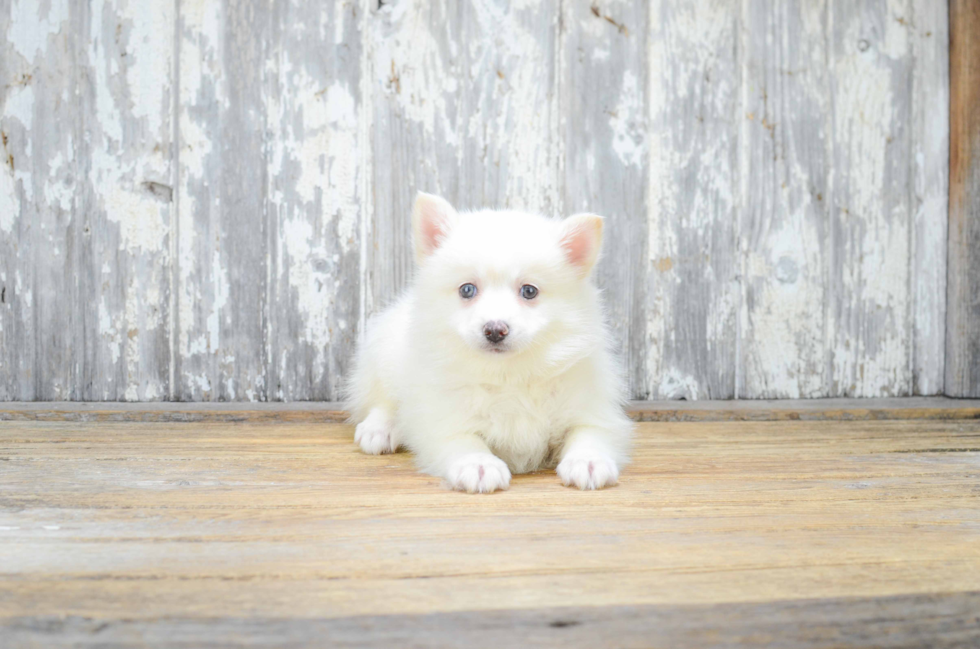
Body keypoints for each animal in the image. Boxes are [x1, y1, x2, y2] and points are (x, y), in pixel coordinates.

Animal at [348, 191, 632, 492]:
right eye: (467, 290)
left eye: (529, 291)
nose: (495, 330)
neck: (507, 374)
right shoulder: (442, 418)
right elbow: (464, 440)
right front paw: (478, 464)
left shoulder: (593, 406)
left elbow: (589, 433)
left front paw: (588, 461)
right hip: (384, 356)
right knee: (382, 399)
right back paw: (379, 428)